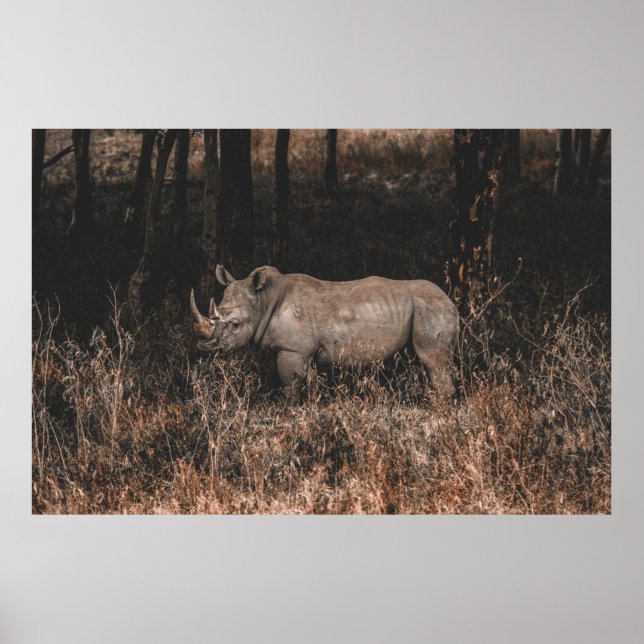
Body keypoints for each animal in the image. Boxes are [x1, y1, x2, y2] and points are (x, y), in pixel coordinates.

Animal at [190, 265, 458, 396]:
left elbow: (290, 386)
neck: (263, 300)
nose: (203, 347)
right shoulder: (301, 352)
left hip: (431, 308)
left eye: (235, 325)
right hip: (423, 308)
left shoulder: (293, 350)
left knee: (432, 361)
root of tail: (450, 300)